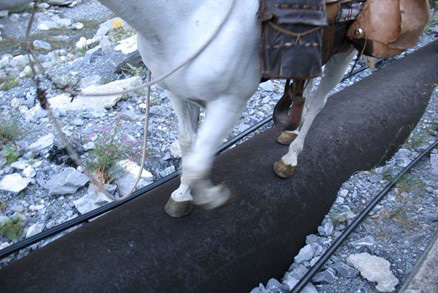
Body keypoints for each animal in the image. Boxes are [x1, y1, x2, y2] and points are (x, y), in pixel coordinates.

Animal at [98, 0, 356, 214]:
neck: (186, 19)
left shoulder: (228, 103)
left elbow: (197, 162)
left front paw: (211, 196)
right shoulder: (177, 94)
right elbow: (188, 143)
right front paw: (183, 194)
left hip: (344, 52)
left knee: (317, 104)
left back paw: (290, 158)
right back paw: (289, 131)